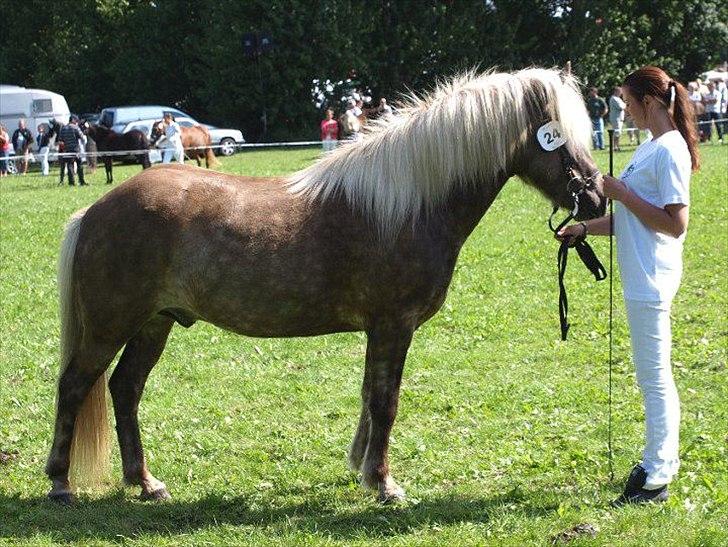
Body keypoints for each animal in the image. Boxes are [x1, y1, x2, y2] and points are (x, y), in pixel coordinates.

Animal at [45, 68, 608, 506]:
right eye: (557, 137)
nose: (597, 197)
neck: (406, 205)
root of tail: (94, 211)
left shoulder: (380, 331)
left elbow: (369, 396)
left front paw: (362, 469)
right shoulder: (394, 325)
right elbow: (385, 401)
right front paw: (384, 484)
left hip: (154, 324)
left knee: (124, 389)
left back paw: (146, 483)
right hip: (111, 325)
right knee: (74, 386)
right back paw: (60, 484)